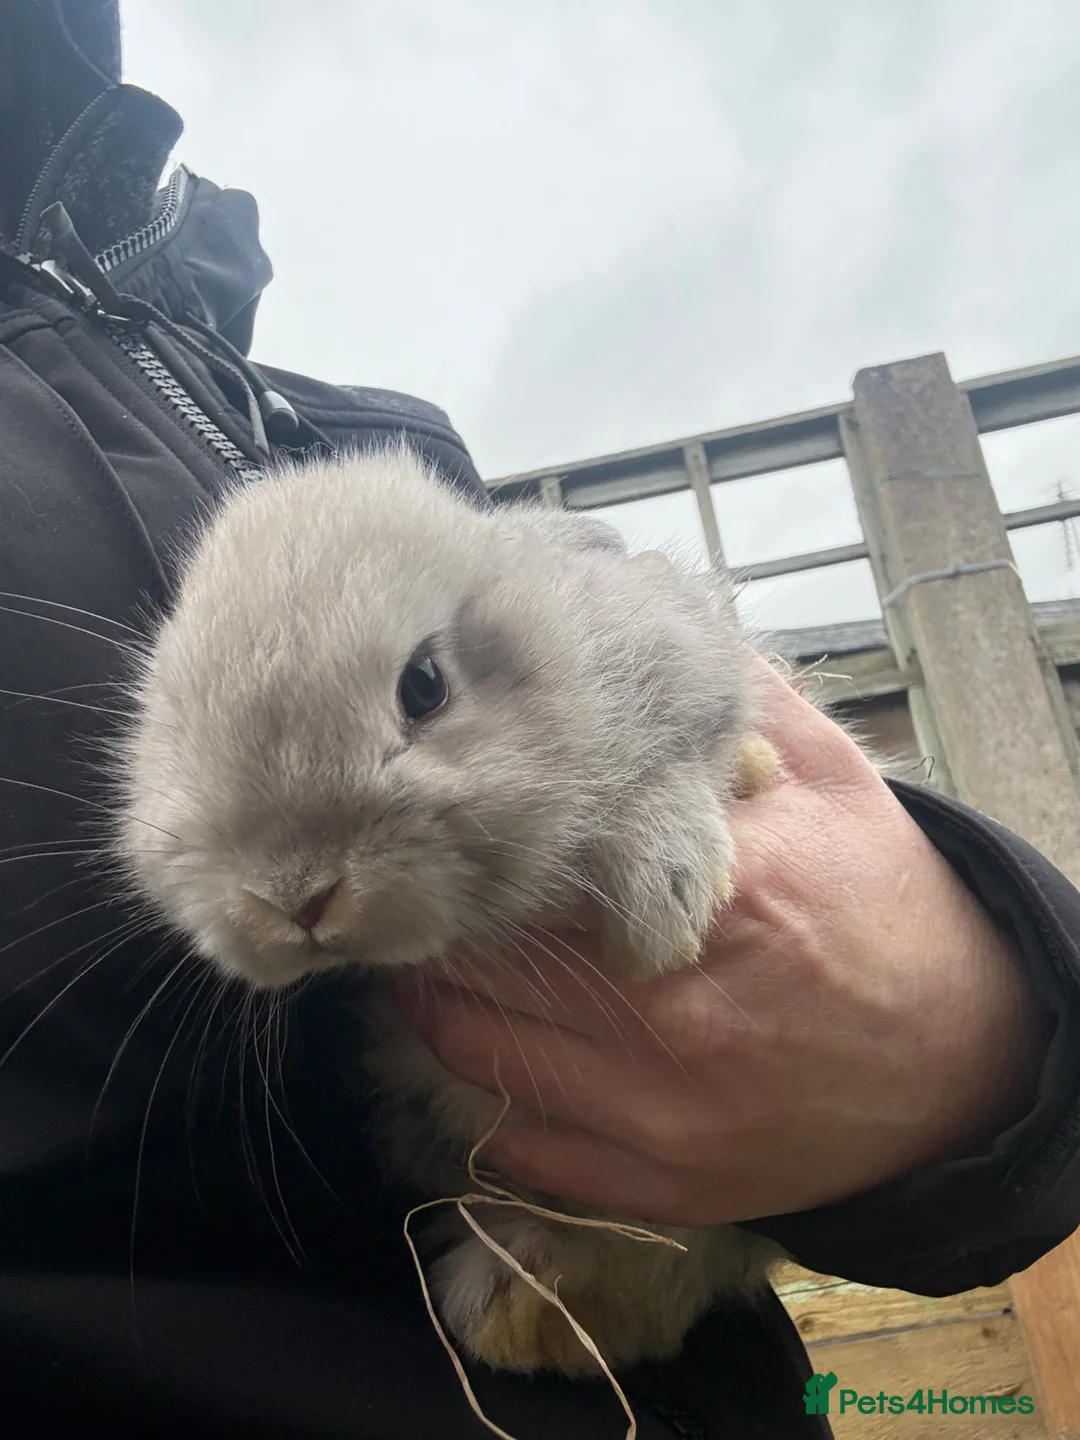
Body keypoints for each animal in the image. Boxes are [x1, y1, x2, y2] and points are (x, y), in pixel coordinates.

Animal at [112, 441, 784, 1378]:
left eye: (424, 686)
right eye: (171, 713)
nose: (295, 896)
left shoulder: (689, 660)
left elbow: (689, 748)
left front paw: (670, 899)